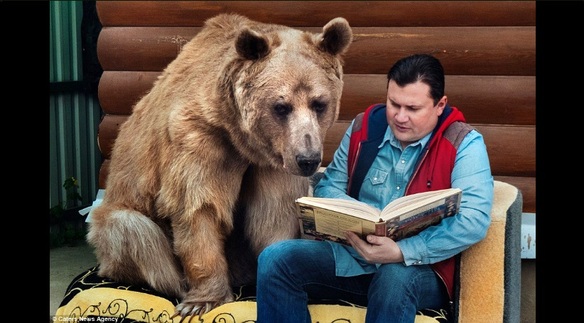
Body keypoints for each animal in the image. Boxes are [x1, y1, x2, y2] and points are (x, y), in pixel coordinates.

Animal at [86, 13, 352, 318]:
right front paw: (202, 300)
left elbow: (273, 213)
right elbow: (198, 206)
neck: (240, 137)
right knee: (135, 232)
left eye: (319, 103)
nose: (307, 159)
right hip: (119, 217)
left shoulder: (274, 162)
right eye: (281, 106)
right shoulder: (199, 138)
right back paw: (178, 285)